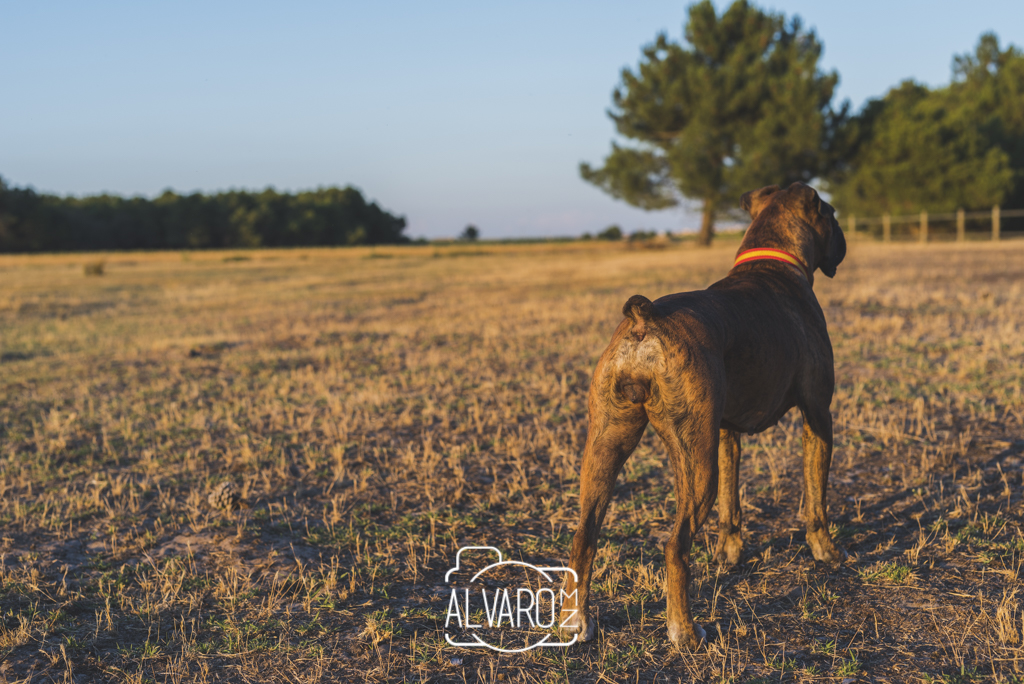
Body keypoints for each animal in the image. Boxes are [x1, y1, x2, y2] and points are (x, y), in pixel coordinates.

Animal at [561, 181, 847, 651]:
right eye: (832, 213)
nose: (843, 240)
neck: (773, 262)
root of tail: (645, 319)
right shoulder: (818, 416)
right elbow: (816, 500)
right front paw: (826, 552)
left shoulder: (726, 435)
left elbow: (732, 507)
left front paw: (729, 555)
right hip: (695, 462)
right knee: (675, 546)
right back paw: (684, 630)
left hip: (608, 443)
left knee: (584, 535)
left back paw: (574, 623)